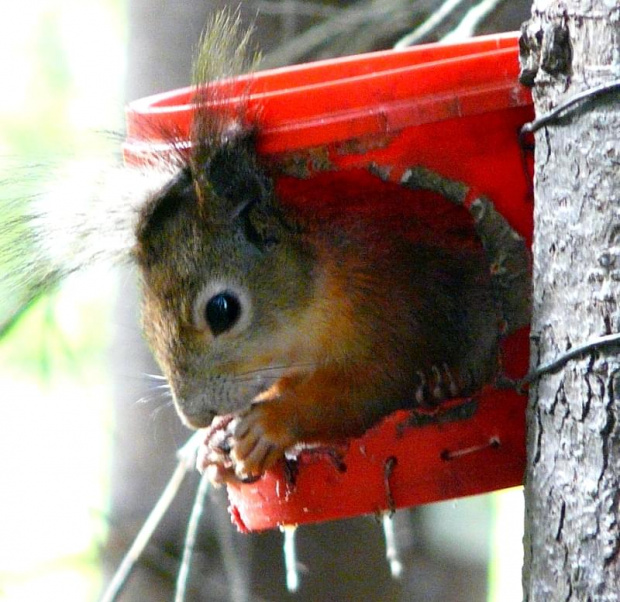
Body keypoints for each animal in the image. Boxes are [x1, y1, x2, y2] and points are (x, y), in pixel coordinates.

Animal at [1, 11, 532, 482]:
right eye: (147, 326)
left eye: (222, 310)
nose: (195, 416)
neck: (316, 296)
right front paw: (212, 447)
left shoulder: (393, 311)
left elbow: (368, 388)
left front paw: (269, 423)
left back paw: (444, 383)